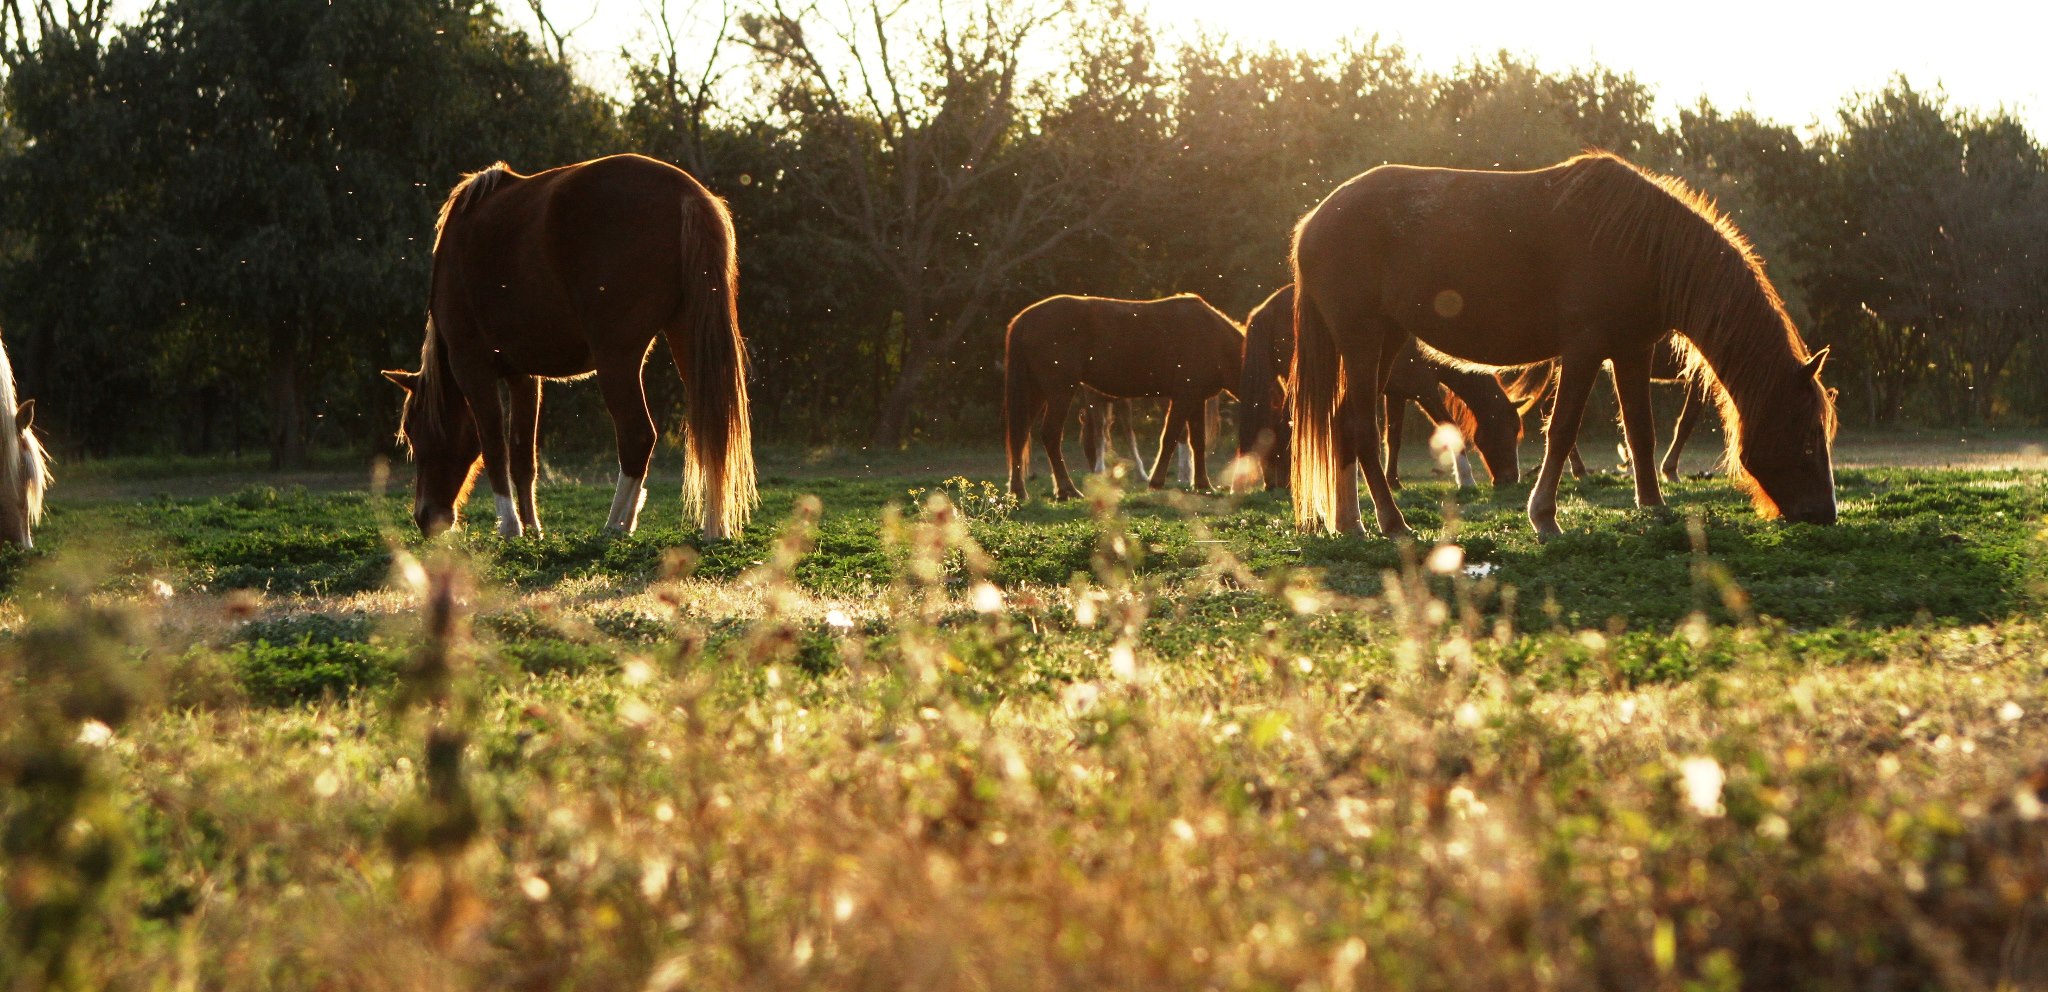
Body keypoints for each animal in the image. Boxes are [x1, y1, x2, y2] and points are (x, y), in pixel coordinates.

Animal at [383, 154, 755, 540]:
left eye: (413, 430)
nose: (425, 518)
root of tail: (687, 194)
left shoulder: (472, 367)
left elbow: (494, 446)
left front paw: (510, 527)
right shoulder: (523, 375)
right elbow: (522, 455)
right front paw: (532, 529)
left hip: (617, 360)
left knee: (637, 436)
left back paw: (616, 526)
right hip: (687, 339)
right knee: (709, 433)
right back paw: (711, 527)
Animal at [1005, 294, 1242, 500]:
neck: (1212, 336)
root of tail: (1024, 320)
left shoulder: (1196, 400)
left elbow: (1198, 442)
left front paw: (1203, 484)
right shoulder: (1184, 397)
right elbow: (1170, 438)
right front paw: (1156, 481)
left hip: (1037, 393)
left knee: (1020, 435)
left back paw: (1019, 491)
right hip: (1059, 392)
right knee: (1050, 434)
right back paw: (1067, 489)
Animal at [1236, 285, 1523, 491]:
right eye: (1508, 430)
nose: (1511, 479)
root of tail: (1265, 309)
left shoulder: (1398, 394)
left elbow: (1393, 438)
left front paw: (1393, 481)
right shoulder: (1425, 392)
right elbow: (1449, 427)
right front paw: (1466, 480)